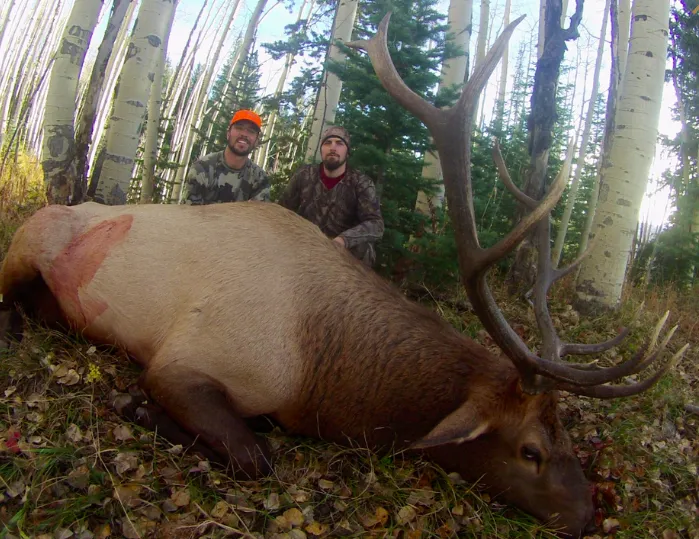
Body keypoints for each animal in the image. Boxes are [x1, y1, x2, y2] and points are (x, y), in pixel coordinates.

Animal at [0, 13, 688, 539]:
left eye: (567, 434)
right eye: (530, 451)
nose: (588, 514)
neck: (323, 374)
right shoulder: (184, 361)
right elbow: (256, 458)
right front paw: (138, 409)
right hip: (29, 242)